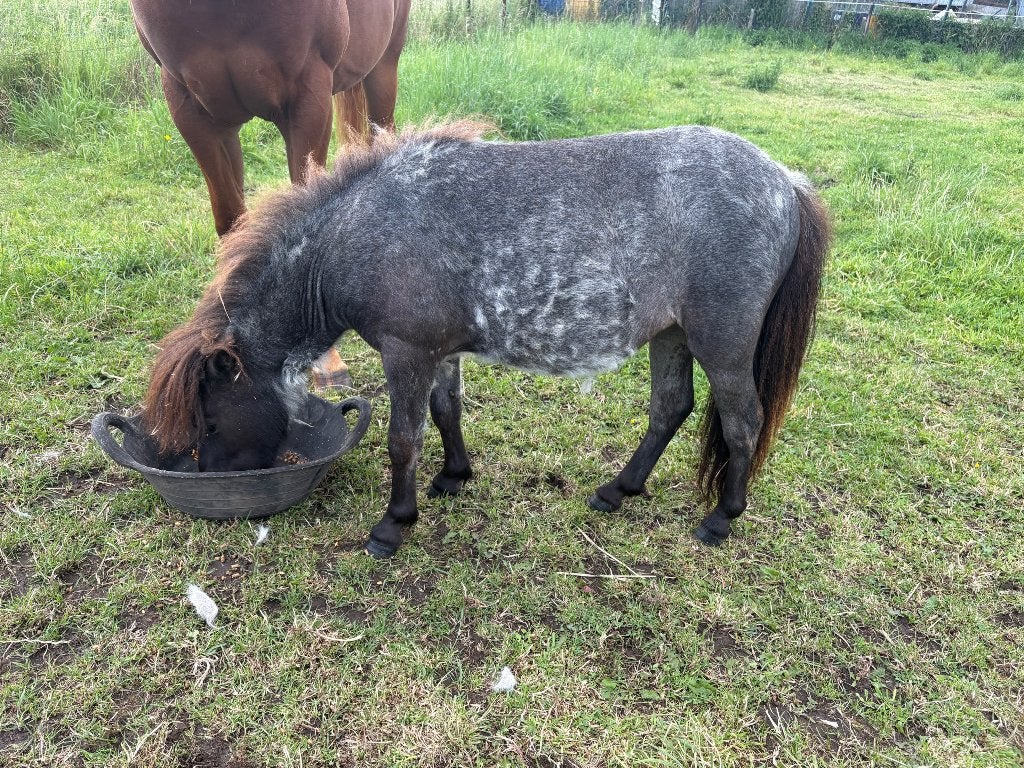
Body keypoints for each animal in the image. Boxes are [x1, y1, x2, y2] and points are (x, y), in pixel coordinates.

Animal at [141, 122, 832, 558]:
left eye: (209, 421)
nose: (210, 479)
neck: (352, 235)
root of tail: (785, 181)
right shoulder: (438, 352)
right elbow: (446, 412)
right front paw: (454, 476)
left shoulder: (406, 352)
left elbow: (403, 439)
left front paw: (393, 526)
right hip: (672, 334)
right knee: (671, 407)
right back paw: (618, 490)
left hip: (722, 344)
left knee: (743, 421)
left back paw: (721, 517)